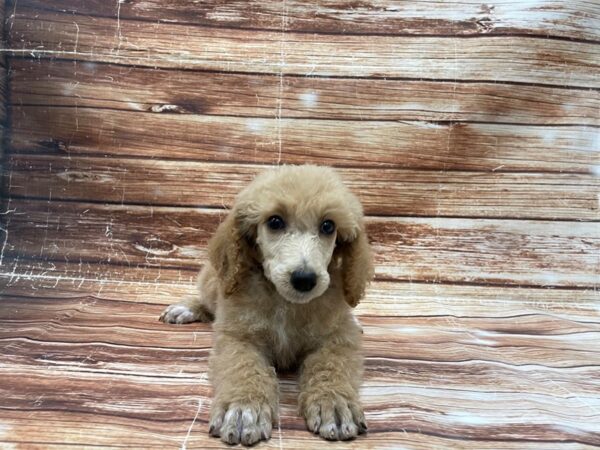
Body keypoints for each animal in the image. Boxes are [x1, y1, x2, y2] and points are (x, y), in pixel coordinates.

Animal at [158, 163, 370, 444]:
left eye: (328, 226)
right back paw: (187, 308)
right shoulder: (238, 336)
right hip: (213, 280)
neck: (285, 302)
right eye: (275, 222)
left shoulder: (337, 337)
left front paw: (334, 402)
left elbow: (332, 365)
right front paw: (244, 408)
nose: (304, 279)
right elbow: (244, 366)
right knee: (207, 301)